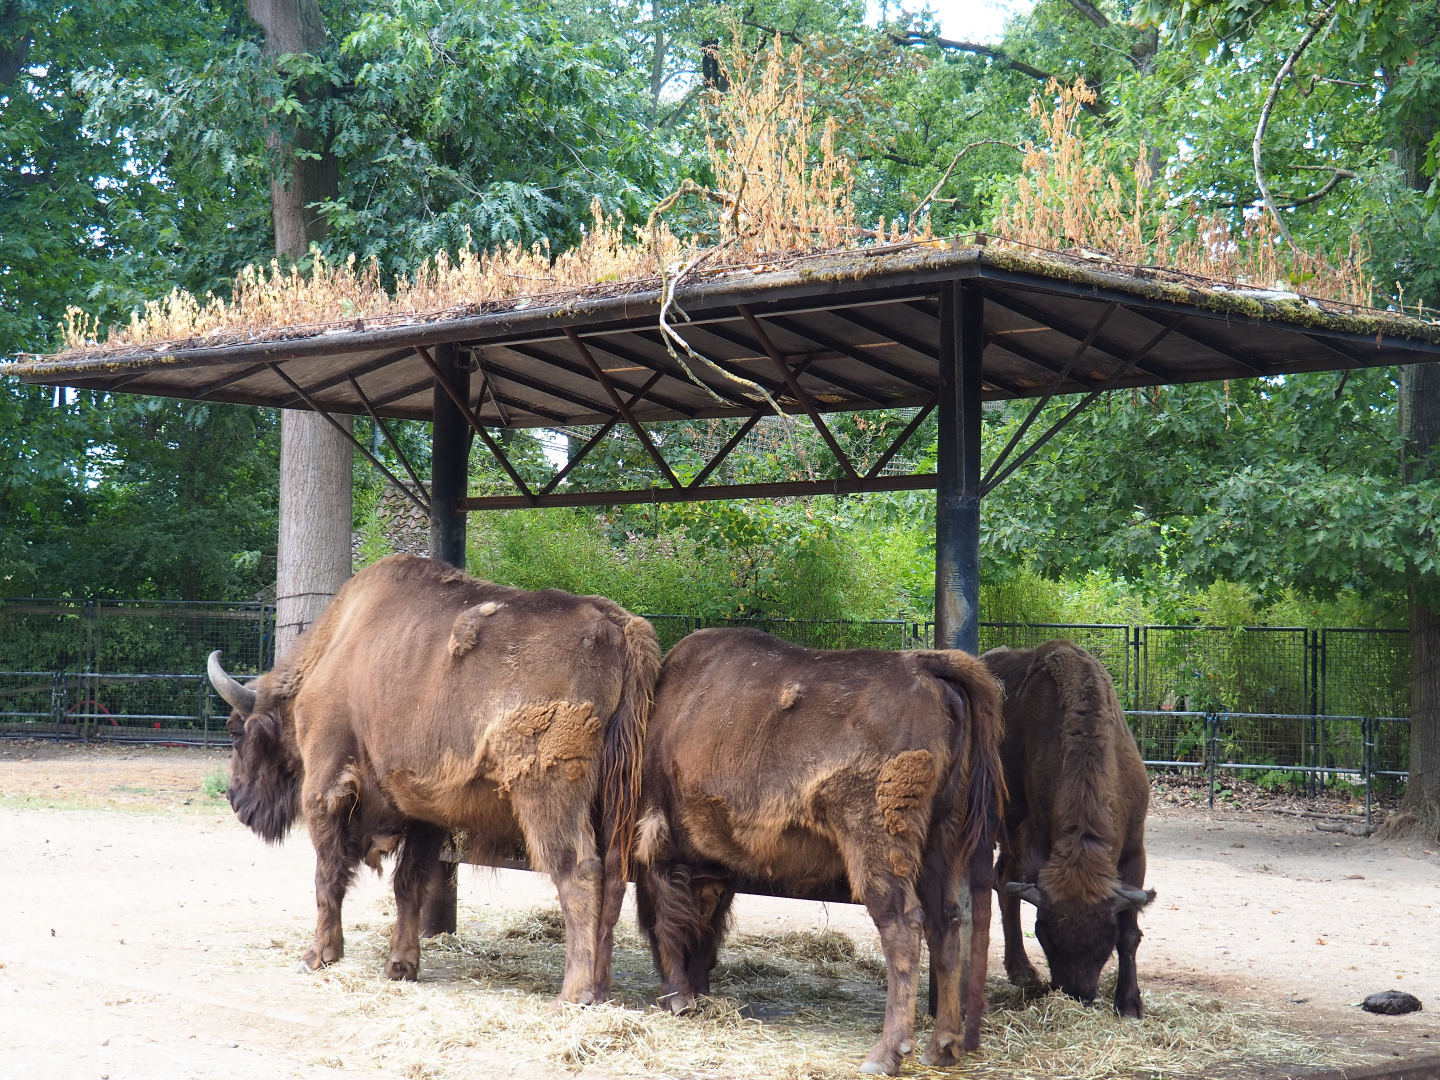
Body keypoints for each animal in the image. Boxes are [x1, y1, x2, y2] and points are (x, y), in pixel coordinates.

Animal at [208, 554, 660, 1003]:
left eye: (234, 732)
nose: (235, 799)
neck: (333, 650)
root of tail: (620, 627)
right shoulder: (422, 812)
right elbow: (408, 884)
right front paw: (401, 966)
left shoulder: (325, 789)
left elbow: (328, 876)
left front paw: (317, 956)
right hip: (612, 802)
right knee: (613, 883)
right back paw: (601, 987)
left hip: (549, 794)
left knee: (578, 871)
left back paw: (574, 993)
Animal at [633, 628, 1005, 1074]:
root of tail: (924, 668)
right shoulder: (713, 868)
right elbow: (703, 922)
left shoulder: (662, 845)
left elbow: (668, 920)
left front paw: (677, 998)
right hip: (938, 841)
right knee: (945, 921)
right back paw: (942, 1047)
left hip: (877, 842)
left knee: (903, 925)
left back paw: (885, 1055)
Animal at [982, 641, 1154, 1016]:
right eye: (1044, 933)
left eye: (1104, 939)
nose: (1078, 994)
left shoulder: (1134, 851)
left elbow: (1131, 932)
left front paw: (1129, 1004)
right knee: (1002, 883)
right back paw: (1021, 969)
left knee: (1002, 879)